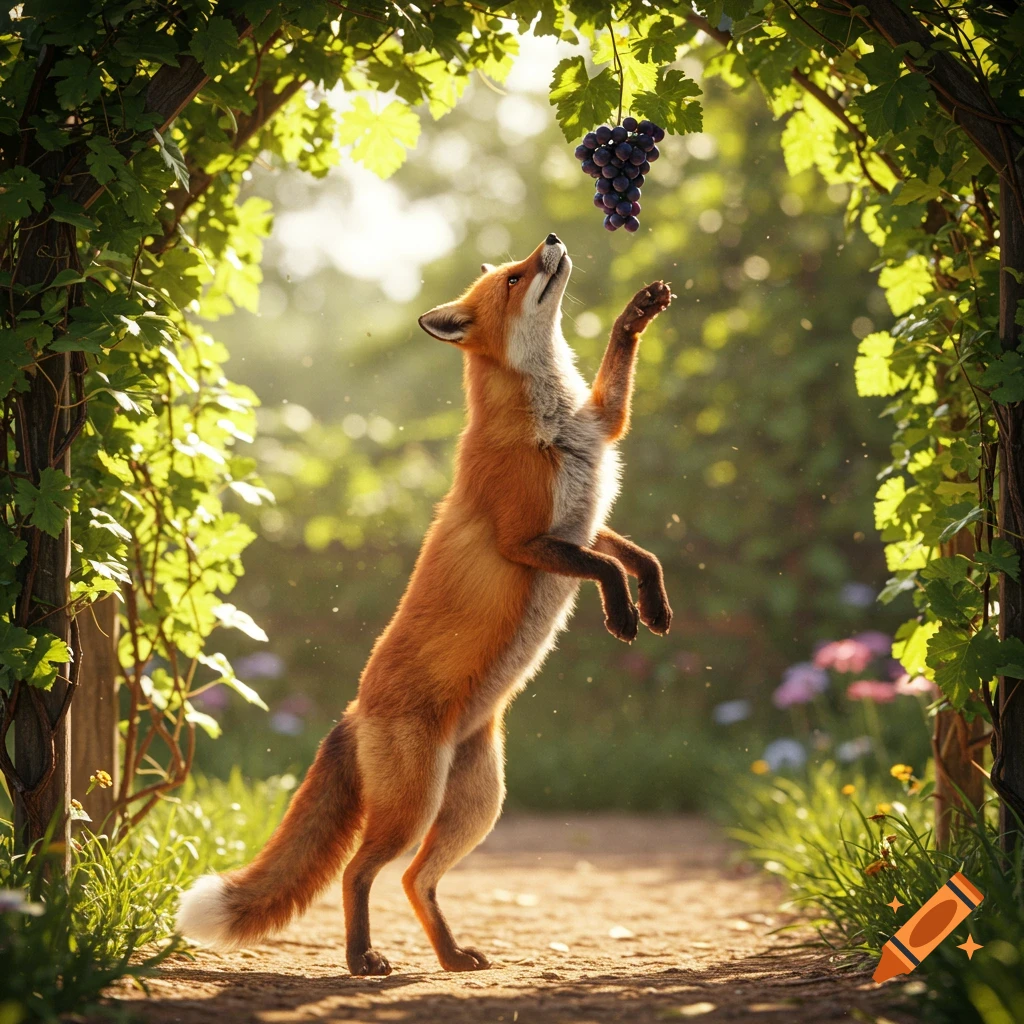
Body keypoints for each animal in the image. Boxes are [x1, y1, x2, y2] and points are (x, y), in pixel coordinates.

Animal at [176, 233, 673, 976]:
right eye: (515, 279)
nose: (552, 239)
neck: (550, 420)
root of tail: (354, 712)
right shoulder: (527, 540)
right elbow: (606, 566)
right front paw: (620, 613)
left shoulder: (587, 497)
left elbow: (639, 555)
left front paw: (639, 309)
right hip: (415, 806)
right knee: (359, 872)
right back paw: (361, 959)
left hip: (477, 804)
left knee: (415, 879)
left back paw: (450, 955)